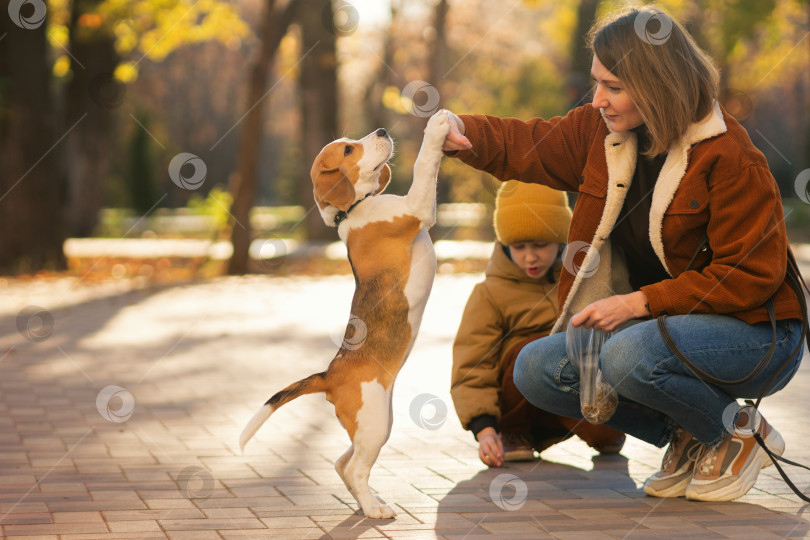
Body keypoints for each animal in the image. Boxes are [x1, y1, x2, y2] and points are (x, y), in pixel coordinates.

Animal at [240, 109, 452, 520]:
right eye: (349, 149)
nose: (383, 130)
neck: (352, 210)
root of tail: (329, 375)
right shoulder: (417, 207)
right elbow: (424, 163)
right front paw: (436, 126)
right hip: (376, 422)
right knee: (354, 468)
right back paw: (375, 510)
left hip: (372, 424)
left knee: (343, 464)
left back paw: (370, 503)